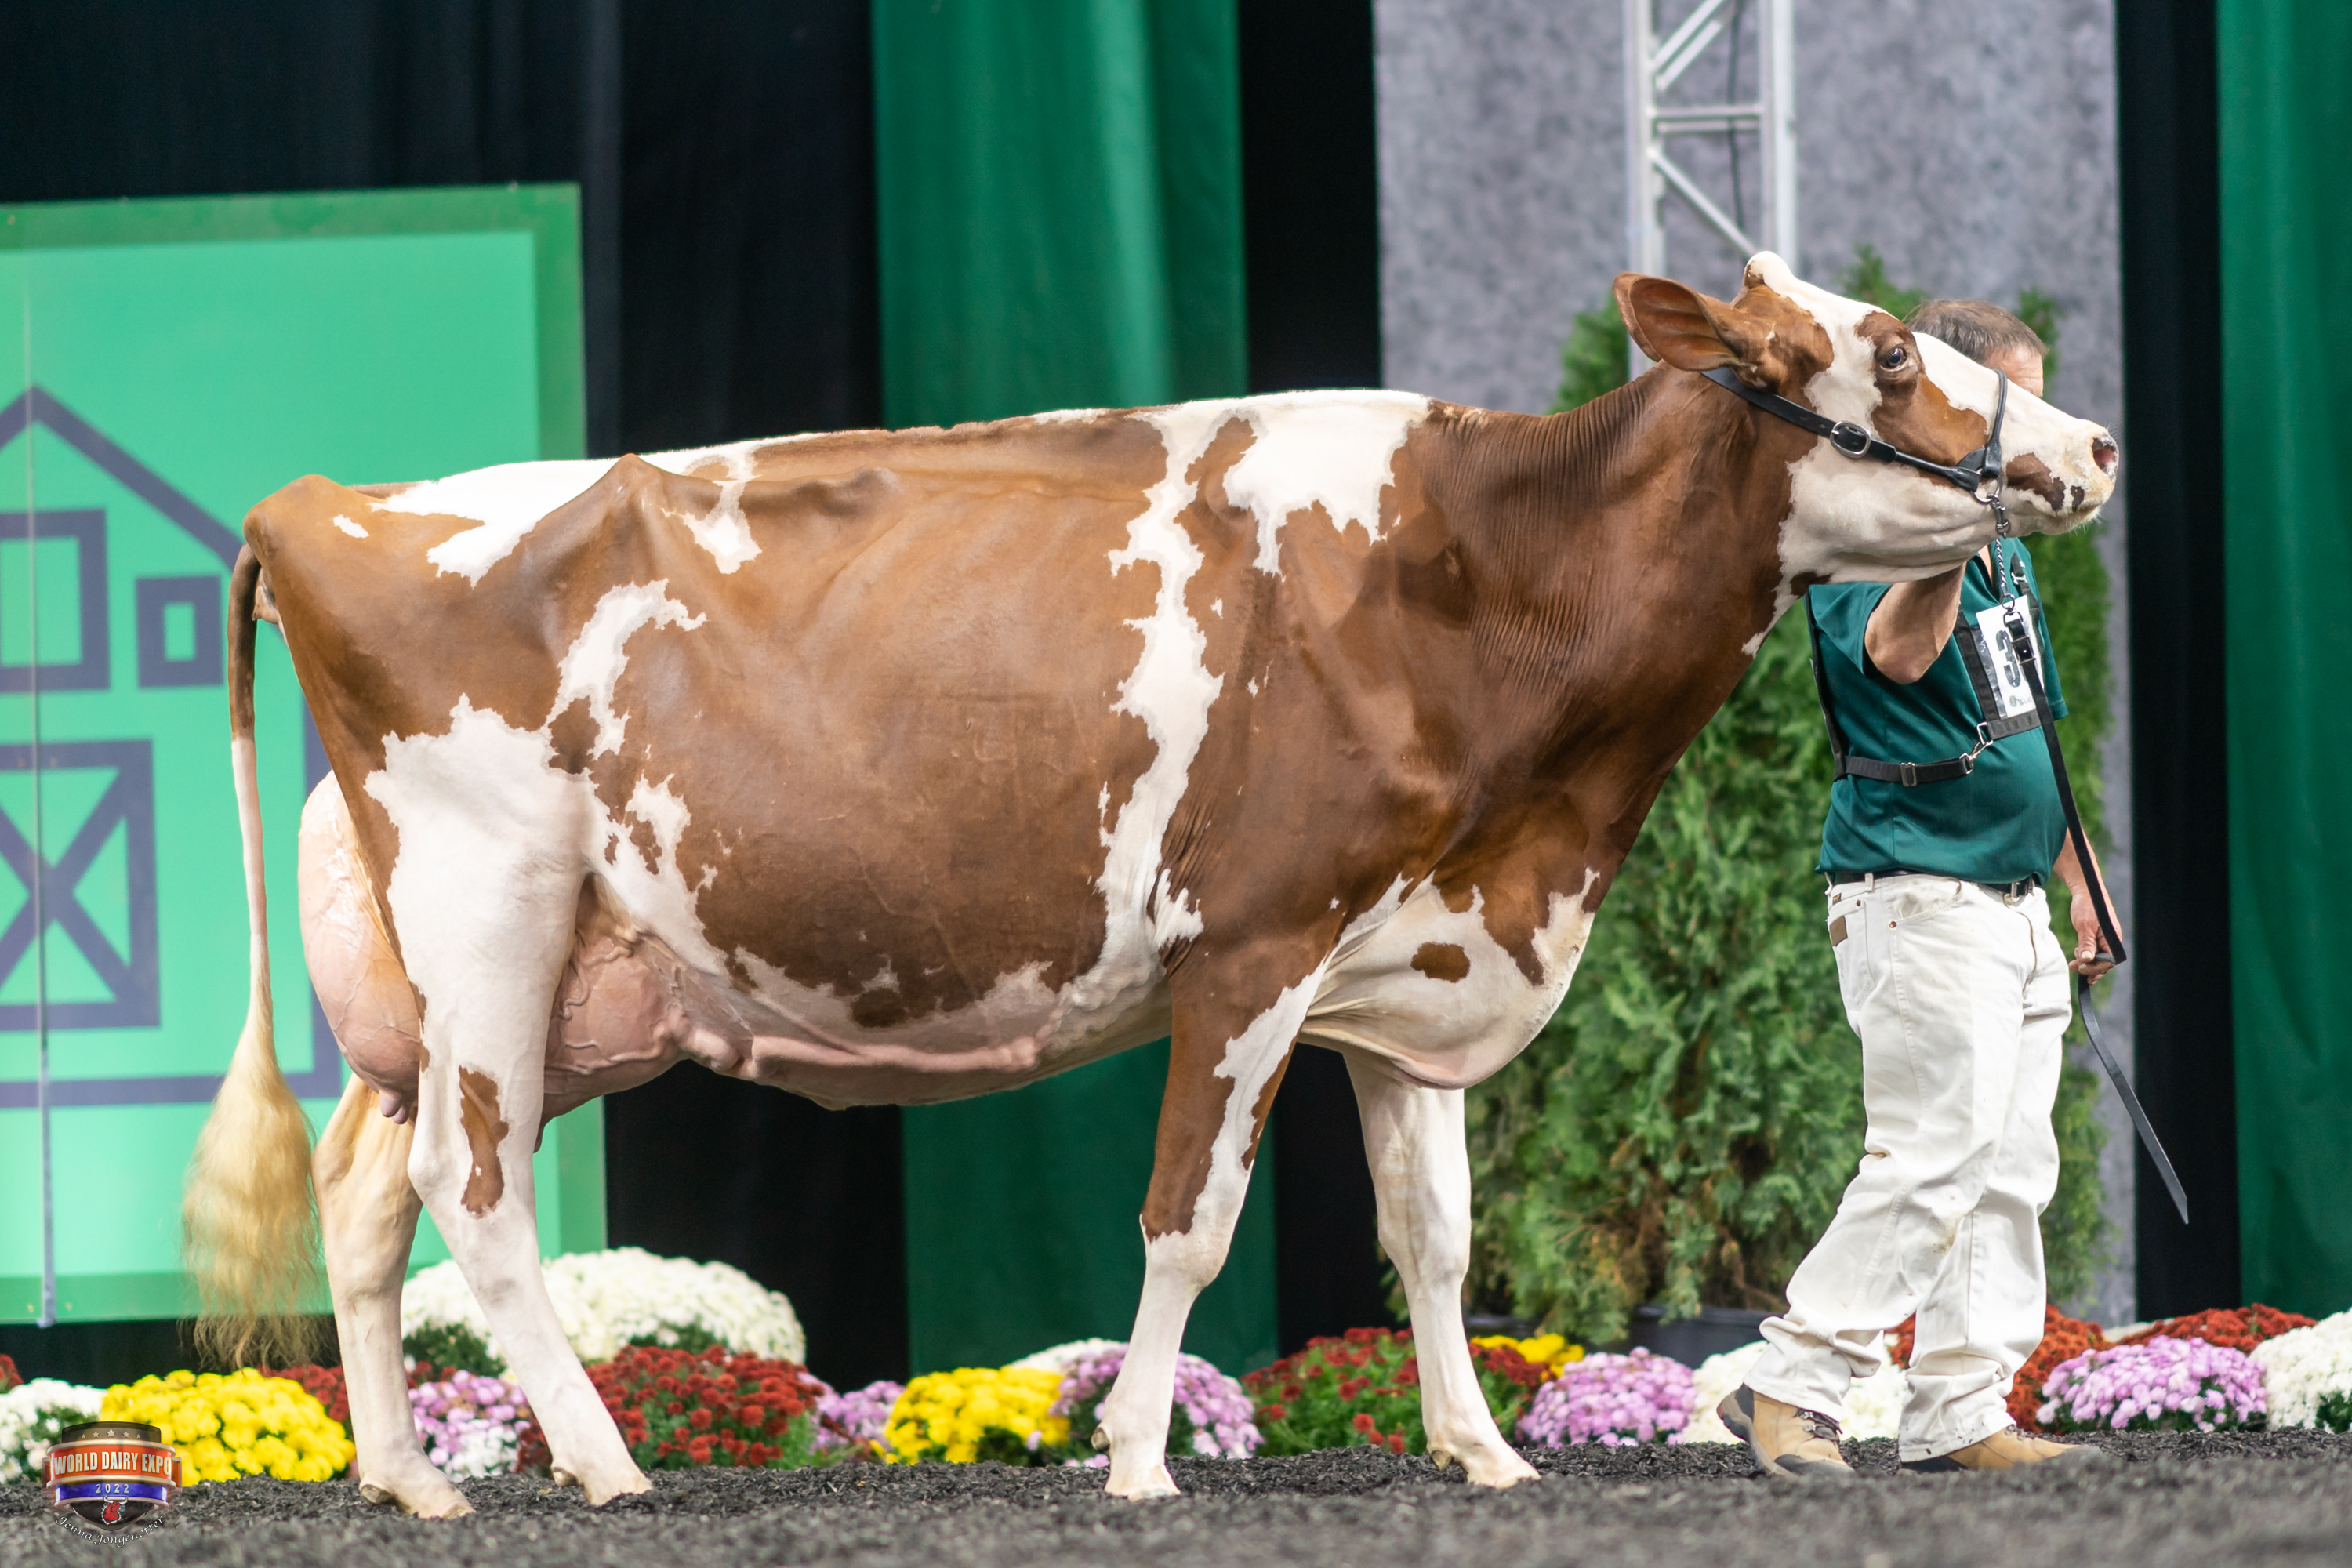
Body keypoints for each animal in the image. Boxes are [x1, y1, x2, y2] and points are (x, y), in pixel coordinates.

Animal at [182, 253, 2116, 1516]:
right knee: (474, 1191)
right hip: (490, 913)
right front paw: (1131, 1460)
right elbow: (1192, 1215)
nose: (2091, 448)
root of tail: (331, 501)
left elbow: (1435, 1236)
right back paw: (601, 1465)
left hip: (482, 989)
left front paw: (1481, 1450)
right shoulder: (1254, 943)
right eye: (1886, 350)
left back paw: (406, 1477)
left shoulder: (1408, 965)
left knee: (366, 1195)